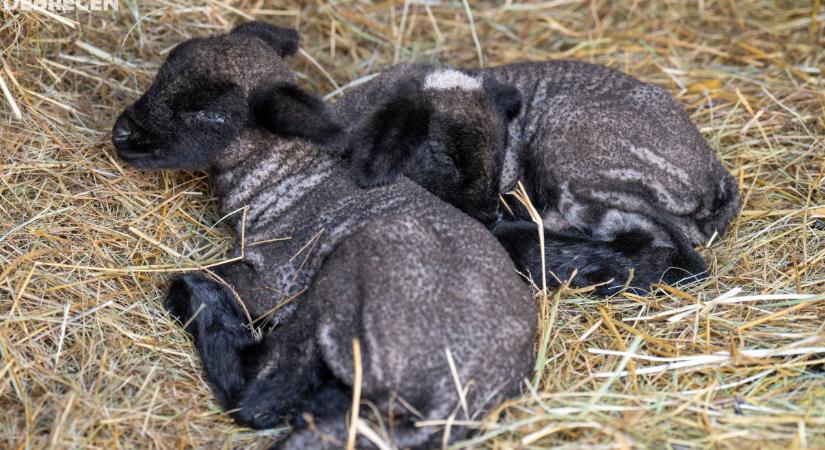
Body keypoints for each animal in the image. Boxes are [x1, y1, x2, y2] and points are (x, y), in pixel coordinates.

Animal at [109, 22, 536, 448]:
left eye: (211, 113)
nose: (121, 133)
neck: (281, 172)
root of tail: (448, 405)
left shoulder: (276, 279)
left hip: (345, 278)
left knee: (262, 393)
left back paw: (195, 298)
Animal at [334, 62, 740, 296]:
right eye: (442, 153)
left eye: (502, 148)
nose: (488, 217)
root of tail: (715, 179)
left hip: (579, 158)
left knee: (660, 238)